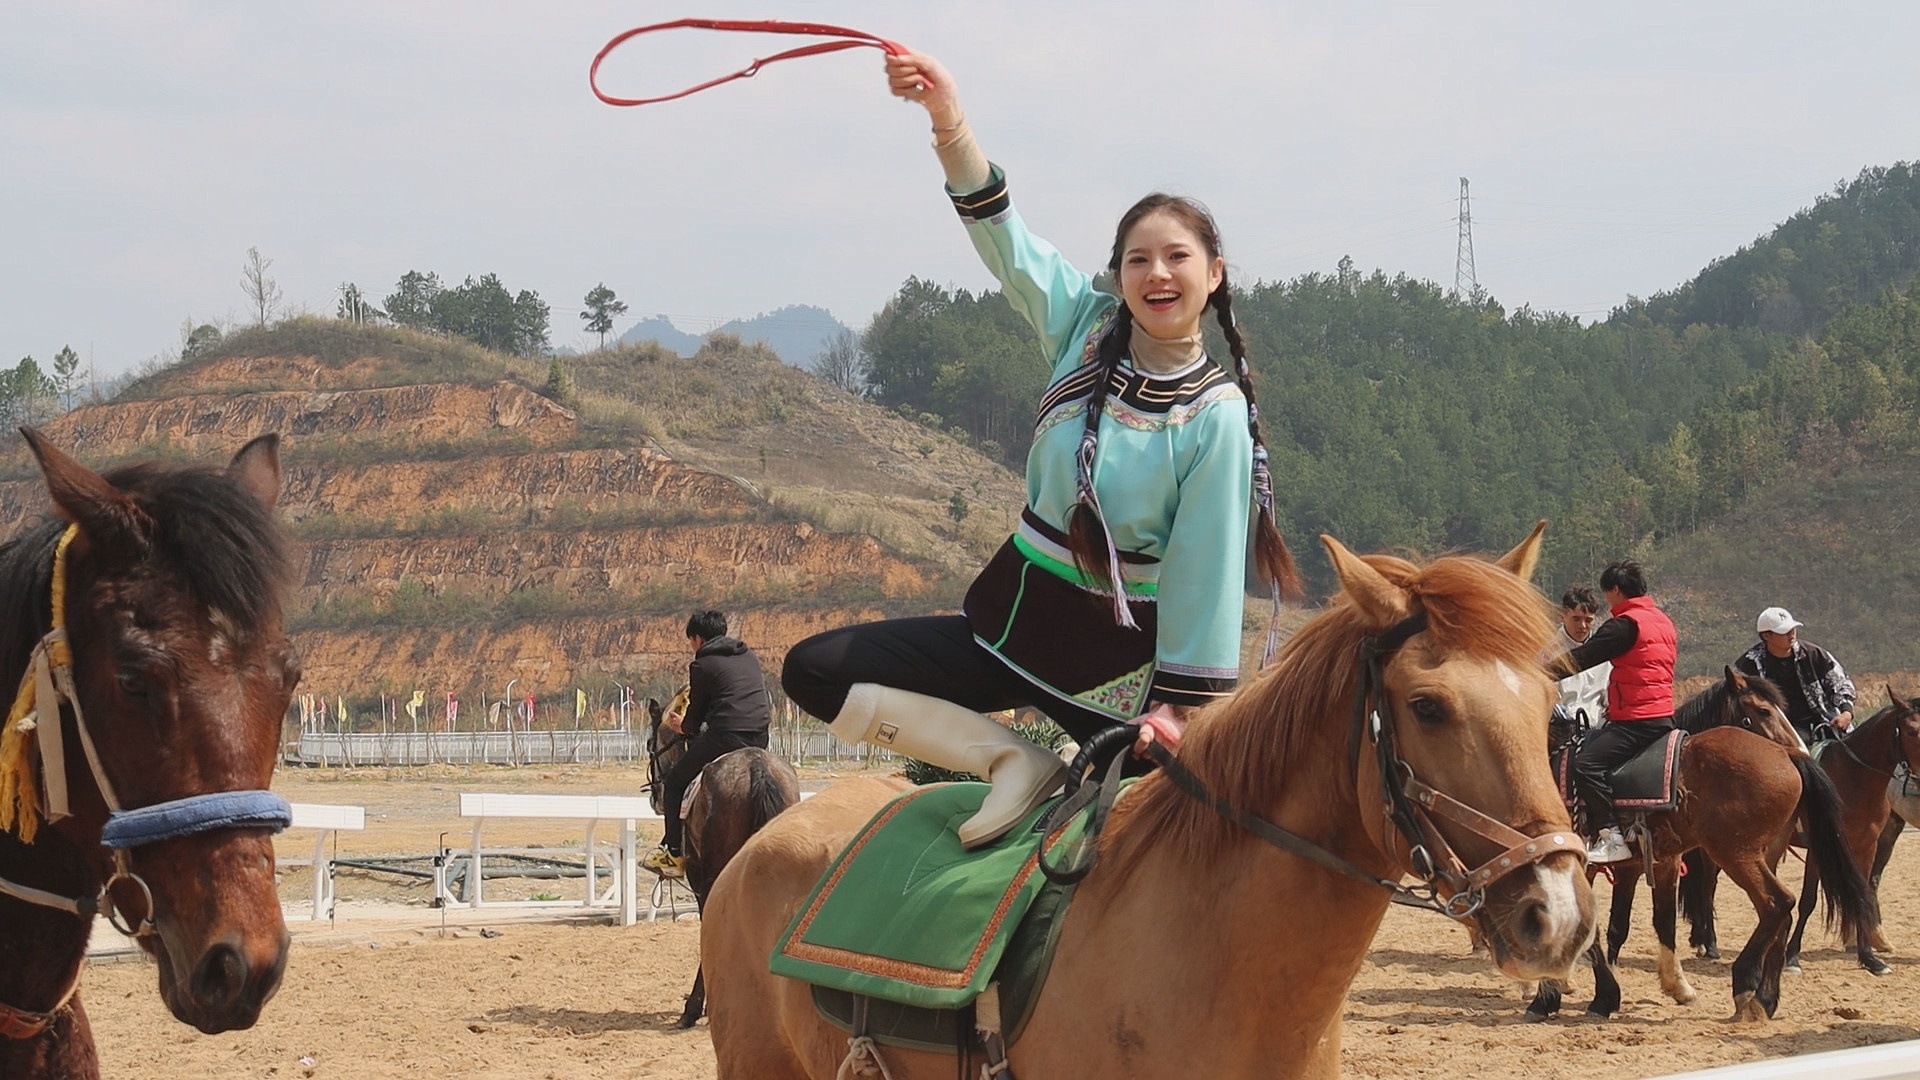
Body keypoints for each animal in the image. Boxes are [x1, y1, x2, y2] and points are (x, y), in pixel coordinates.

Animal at [1528, 668, 1873, 1022]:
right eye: (1763, 711)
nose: (1803, 746)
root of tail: (1786, 757)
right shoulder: (1644, 865)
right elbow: (1639, 925)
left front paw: (1562, 997)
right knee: (1781, 912)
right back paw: (1764, 996)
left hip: (1737, 853)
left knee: (1778, 904)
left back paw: (1748, 985)